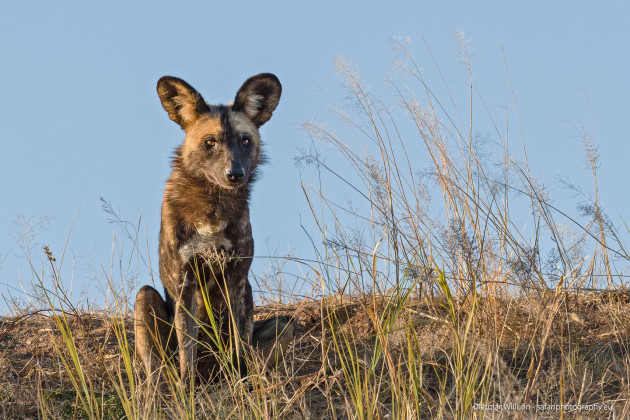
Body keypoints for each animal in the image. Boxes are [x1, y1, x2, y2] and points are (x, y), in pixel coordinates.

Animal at [134, 74, 296, 384]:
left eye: (245, 140)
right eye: (210, 142)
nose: (235, 174)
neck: (213, 204)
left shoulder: (236, 280)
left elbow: (238, 344)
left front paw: (240, 384)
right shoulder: (184, 285)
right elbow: (187, 349)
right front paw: (187, 389)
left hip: (285, 324)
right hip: (144, 298)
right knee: (159, 370)